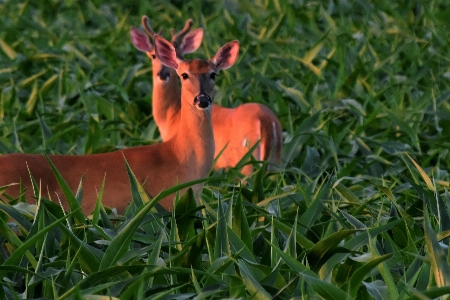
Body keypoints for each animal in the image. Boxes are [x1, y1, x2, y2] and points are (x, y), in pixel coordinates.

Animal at [132, 15, 284, 176]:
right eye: (153, 56)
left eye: (181, 55)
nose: (163, 74)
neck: (171, 116)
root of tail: (267, 122)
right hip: (276, 163)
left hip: (244, 161)